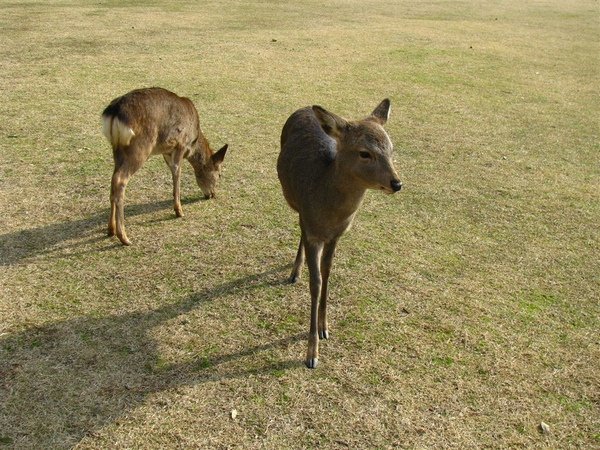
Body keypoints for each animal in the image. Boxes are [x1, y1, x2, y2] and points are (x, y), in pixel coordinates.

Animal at [102, 86, 229, 246]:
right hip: (140, 148)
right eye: (219, 174)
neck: (193, 143)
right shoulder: (181, 144)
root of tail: (114, 112)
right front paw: (179, 211)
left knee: (113, 179)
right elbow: (177, 172)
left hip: (117, 149)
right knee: (119, 180)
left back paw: (110, 230)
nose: (212, 194)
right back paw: (124, 237)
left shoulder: (166, 151)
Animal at [278, 99, 404, 370]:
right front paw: (311, 354)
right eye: (365, 152)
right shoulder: (313, 230)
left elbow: (327, 273)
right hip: (294, 203)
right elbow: (315, 283)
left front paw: (325, 328)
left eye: (391, 148)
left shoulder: (337, 235)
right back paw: (294, 272)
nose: (397, 183)